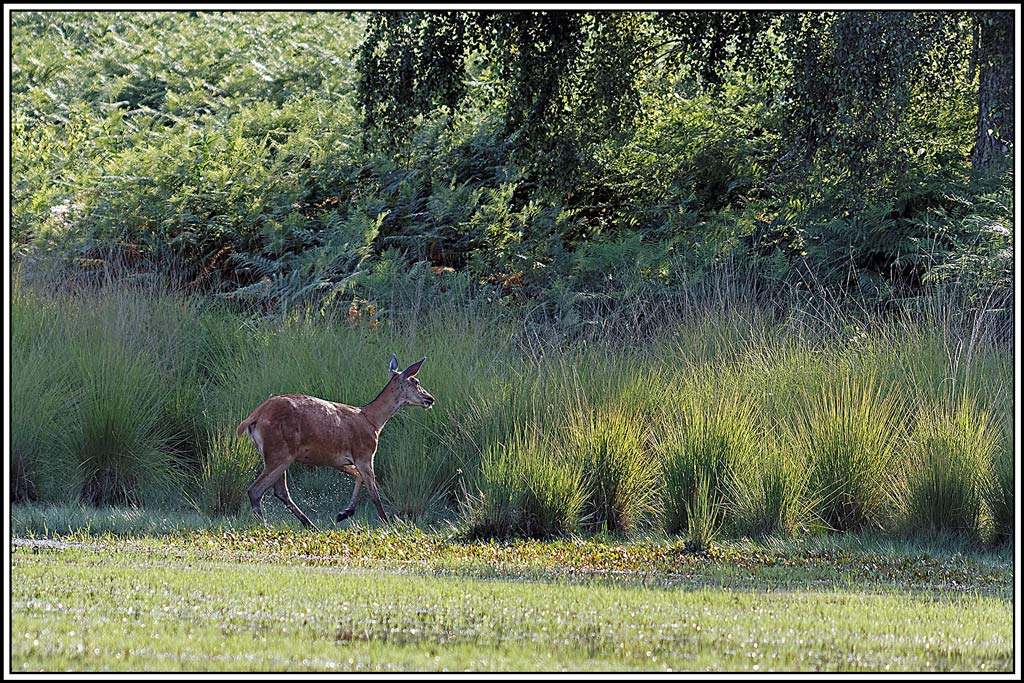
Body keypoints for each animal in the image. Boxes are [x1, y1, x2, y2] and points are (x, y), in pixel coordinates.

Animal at [235, 355, 434, 530]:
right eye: (415, 382)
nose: (430, 398)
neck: (373, 421)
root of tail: (254, 417)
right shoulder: (365, 453)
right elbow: (374, 493)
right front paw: (388, 524)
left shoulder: (338, 459)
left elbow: (358, 477)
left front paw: (344, 513)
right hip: (280, 451)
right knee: (256, 490)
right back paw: (266, 525)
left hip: (277, 454)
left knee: (280, 491)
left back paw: (309, 524)